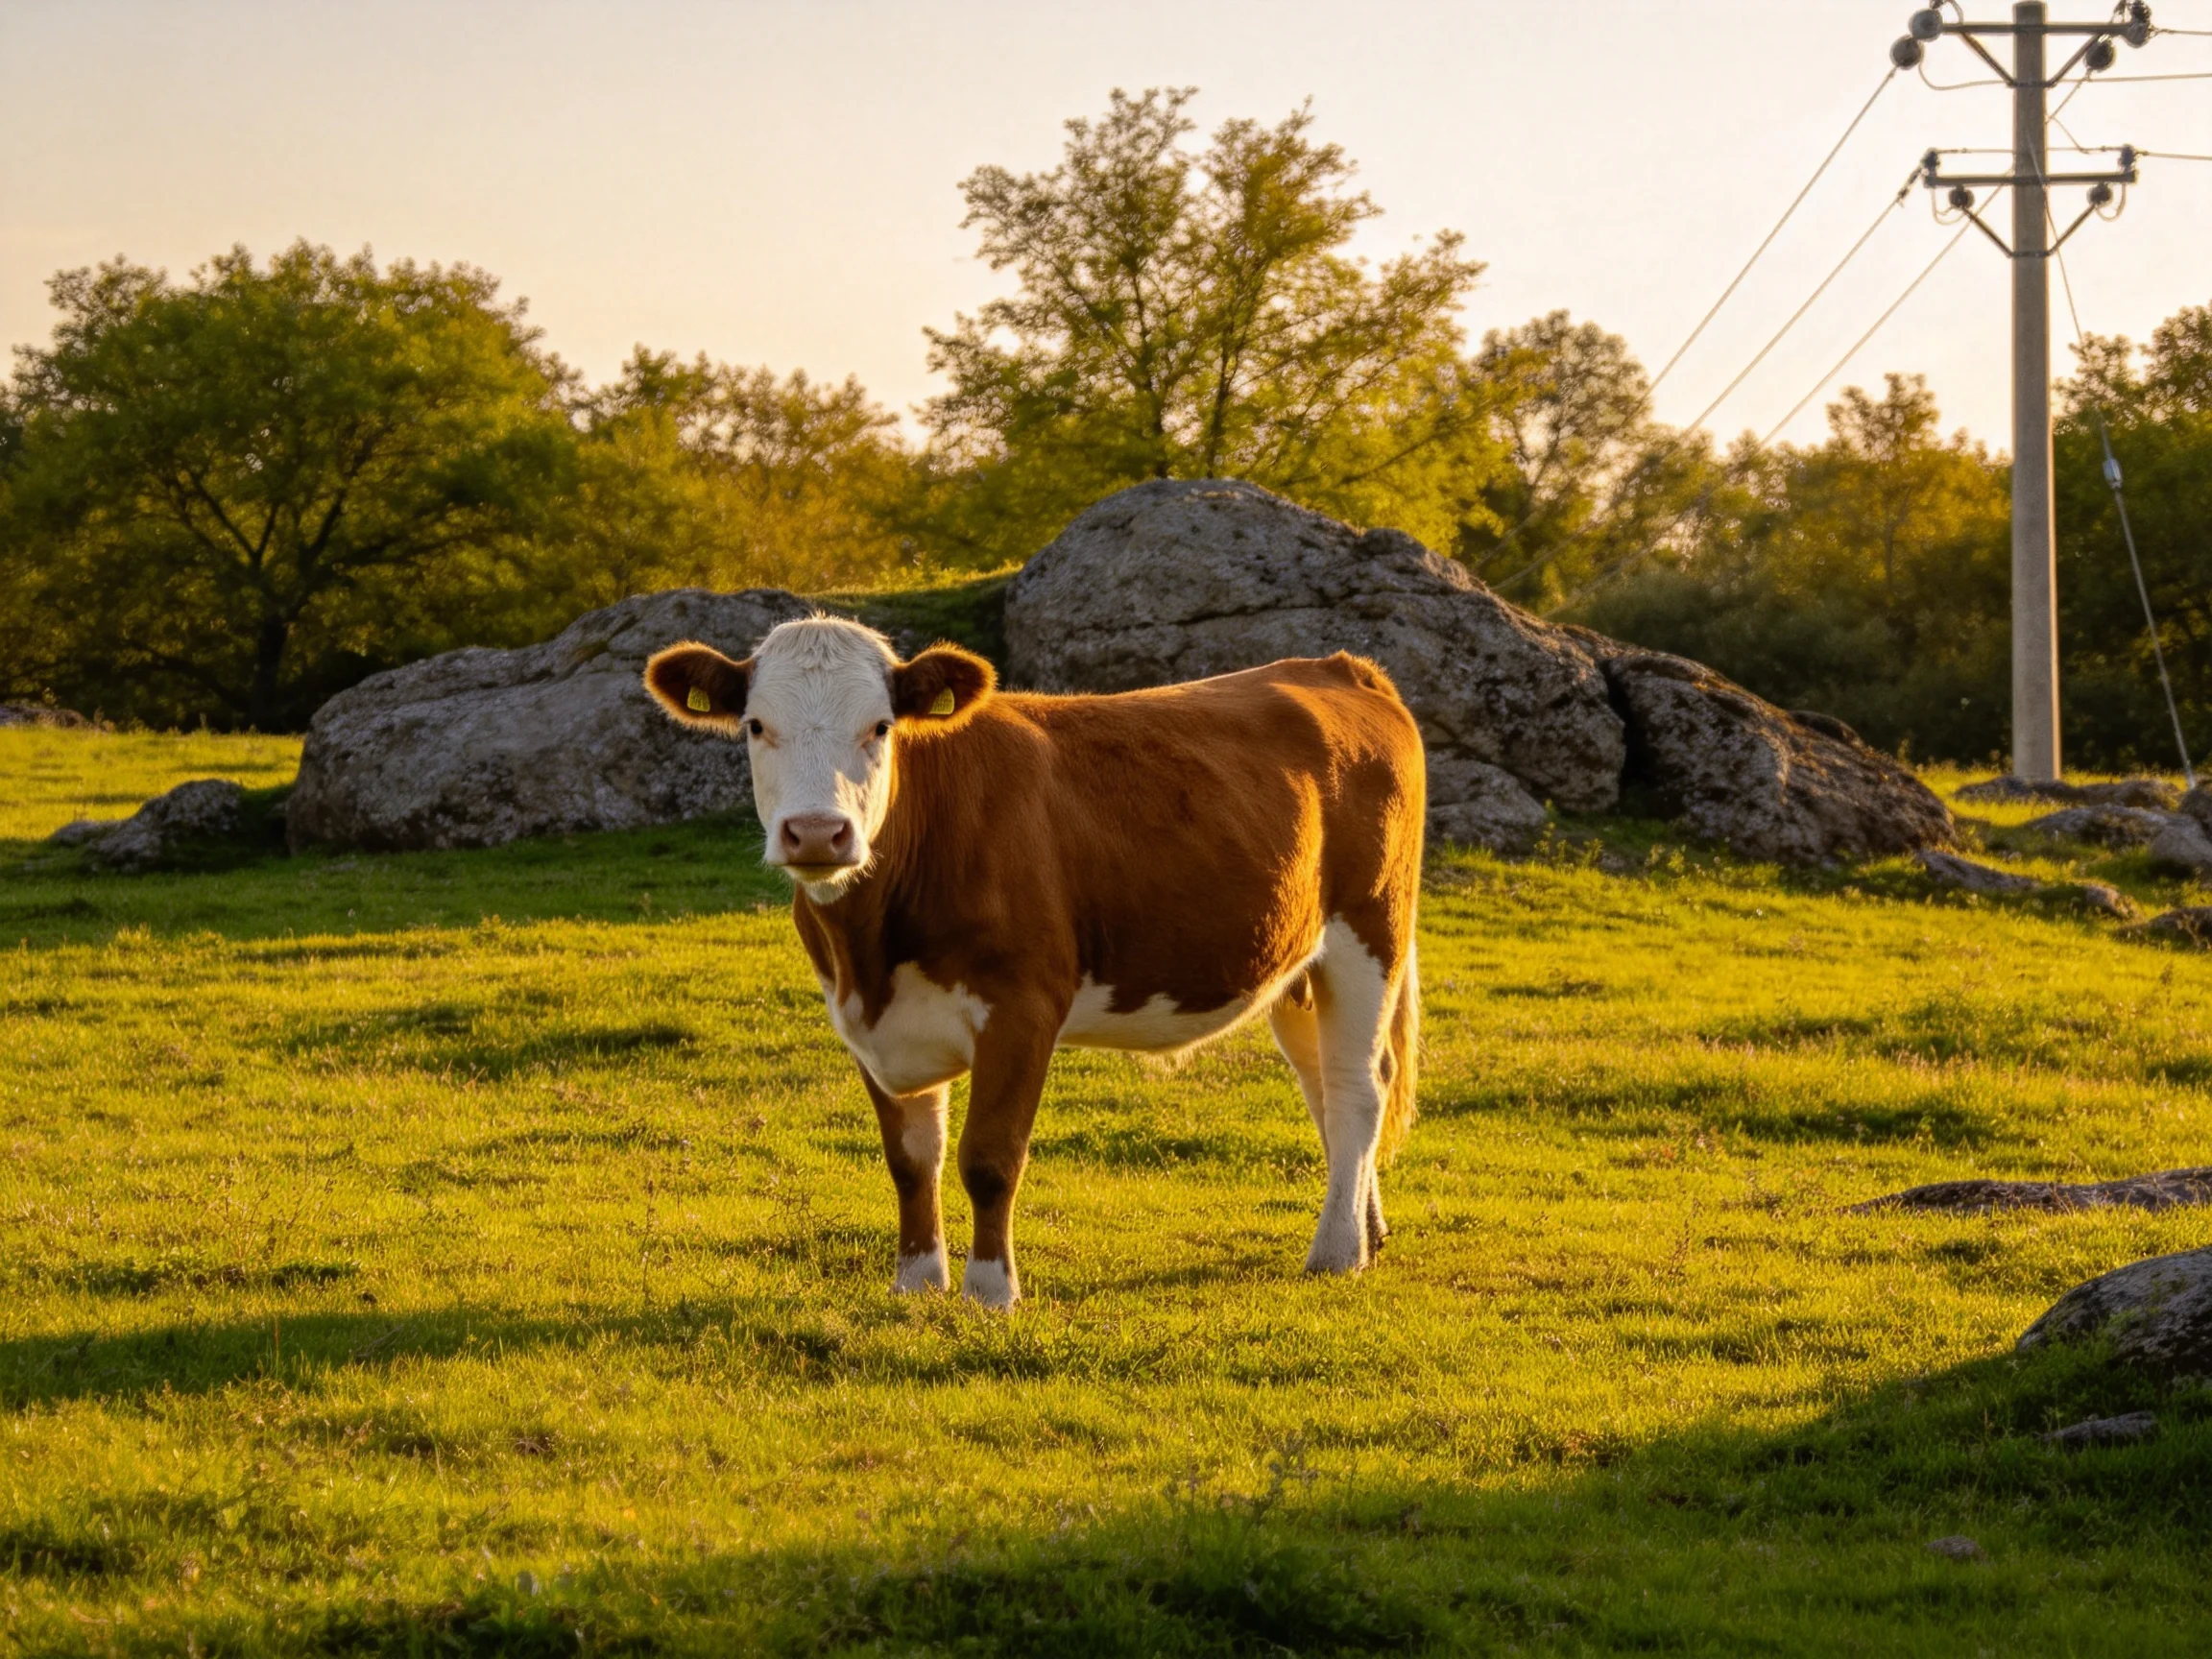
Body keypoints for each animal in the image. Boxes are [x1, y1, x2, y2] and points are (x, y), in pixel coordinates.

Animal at [643, 616, 1424, 1306]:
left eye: (881, 727)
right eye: (755, 726)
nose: (815, 832)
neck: (870, 950)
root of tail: (1337, 666)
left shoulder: (1022, 1006)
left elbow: (989, 1158)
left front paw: (991, 1292)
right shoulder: (868, 1022)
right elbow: (910, 1162)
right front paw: (917, 1283)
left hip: (1370, 930)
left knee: (1357, 1088)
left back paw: (1337, 1251)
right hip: (1296, 961)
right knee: (1325, 1084)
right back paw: (1368, 1230)